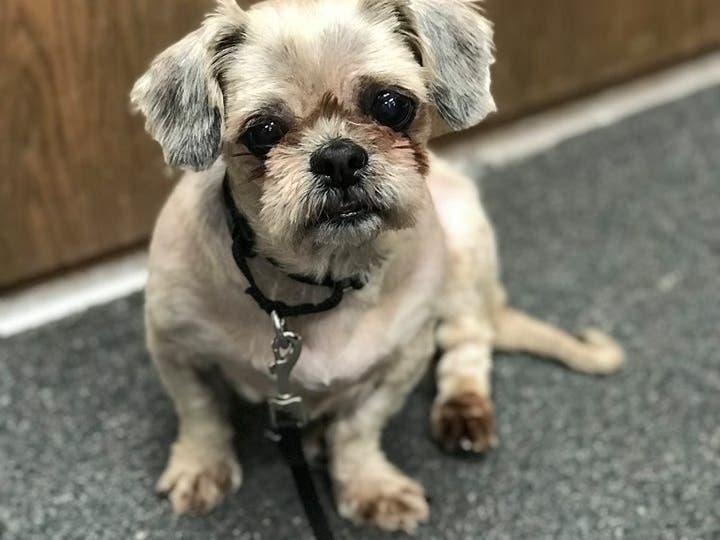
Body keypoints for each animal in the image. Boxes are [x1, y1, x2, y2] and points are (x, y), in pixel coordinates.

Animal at [131, 0, 624, 532]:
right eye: (263, 132)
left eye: (391, 105)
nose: (339, 157)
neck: (316, 283)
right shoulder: (177, 348)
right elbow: (202, 416)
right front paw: (202, 468)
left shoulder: (401, 361)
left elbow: (358, 431)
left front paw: (369, 485)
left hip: (464, 241)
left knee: (469, 343)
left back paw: (462, 408)